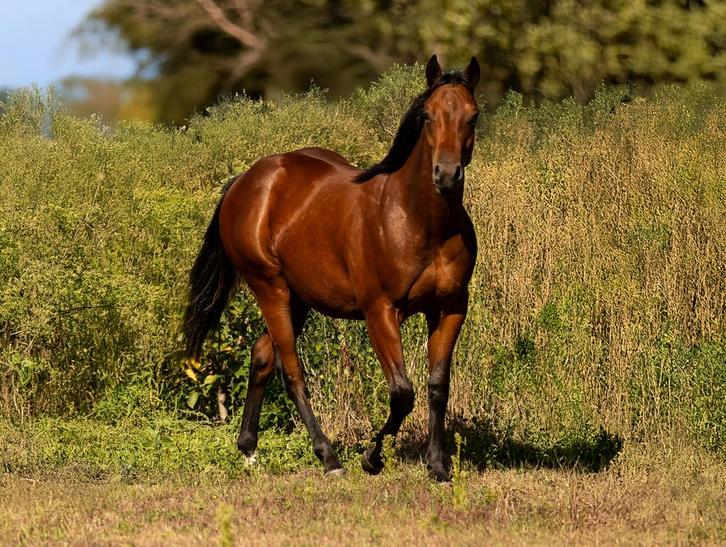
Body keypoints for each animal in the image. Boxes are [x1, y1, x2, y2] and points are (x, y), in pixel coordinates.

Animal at [183, 55, 480, 481]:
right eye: (427, 115)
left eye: (473, 116)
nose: (446, 175)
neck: (421, 222)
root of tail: (245, 182)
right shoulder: (380, 312)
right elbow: (402, 393)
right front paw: (372, 458)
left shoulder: (450, 308)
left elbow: (438, 386)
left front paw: (437, 466)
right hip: (269, 287)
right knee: (290, 371)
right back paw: (329, 458)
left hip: (298, 299)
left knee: (262, 355)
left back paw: (249, 448)